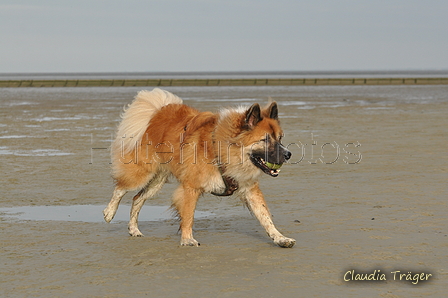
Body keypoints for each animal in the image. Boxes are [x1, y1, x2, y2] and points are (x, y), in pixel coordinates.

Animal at [103, 88, 296, 247]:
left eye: (280, 138)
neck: (222, 148)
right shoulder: (190, 188)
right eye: (265, 140)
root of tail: (156, 113)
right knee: (121, 188)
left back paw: (134, 229)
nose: (288, 154)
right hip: (143, 172)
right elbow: (188, 215)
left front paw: (280, 238)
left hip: (157, 180)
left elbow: (265, 217)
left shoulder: (249, 189)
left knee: (137, 198)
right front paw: (187, 239)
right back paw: (109, 212)